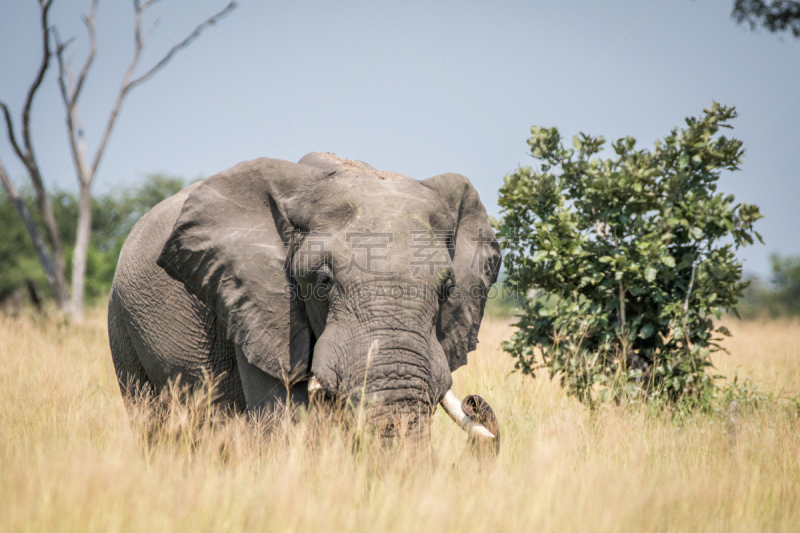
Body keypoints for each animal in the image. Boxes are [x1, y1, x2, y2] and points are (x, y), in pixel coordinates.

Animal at [108, 151, 500, 444]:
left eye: (447, 289)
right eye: (323, 282)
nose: (475, 402)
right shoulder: (256, 307)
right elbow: (286, 420)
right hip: (123, 323)